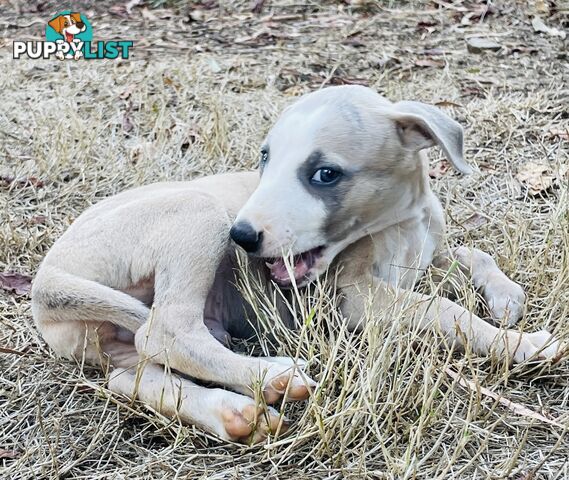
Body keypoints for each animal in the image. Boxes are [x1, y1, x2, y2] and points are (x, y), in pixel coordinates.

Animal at [31, 85, 560, 442]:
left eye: (325, 174)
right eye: (265, 158)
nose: (242, 237)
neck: (401, 222)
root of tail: (45, 280)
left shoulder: (429, 255)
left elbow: (473, 254)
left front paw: (506, 298)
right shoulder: (355, 295)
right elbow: (442, 309)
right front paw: (519, 345)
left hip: (111, 341)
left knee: (131, 373)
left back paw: (236, 413)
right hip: (197, 212)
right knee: (166, 332)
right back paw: (271, 377)